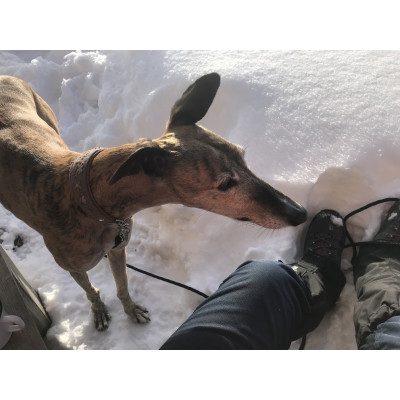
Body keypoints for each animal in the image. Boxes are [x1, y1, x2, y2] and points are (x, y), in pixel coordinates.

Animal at [0, 73, 308, 330]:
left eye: (243, 157)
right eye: (224, 183)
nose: (301, 213)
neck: (89, 199)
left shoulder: (118, 249)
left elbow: (122, 286)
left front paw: (132, 309)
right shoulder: (74, 266)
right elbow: (90, 290)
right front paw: (99, 310)